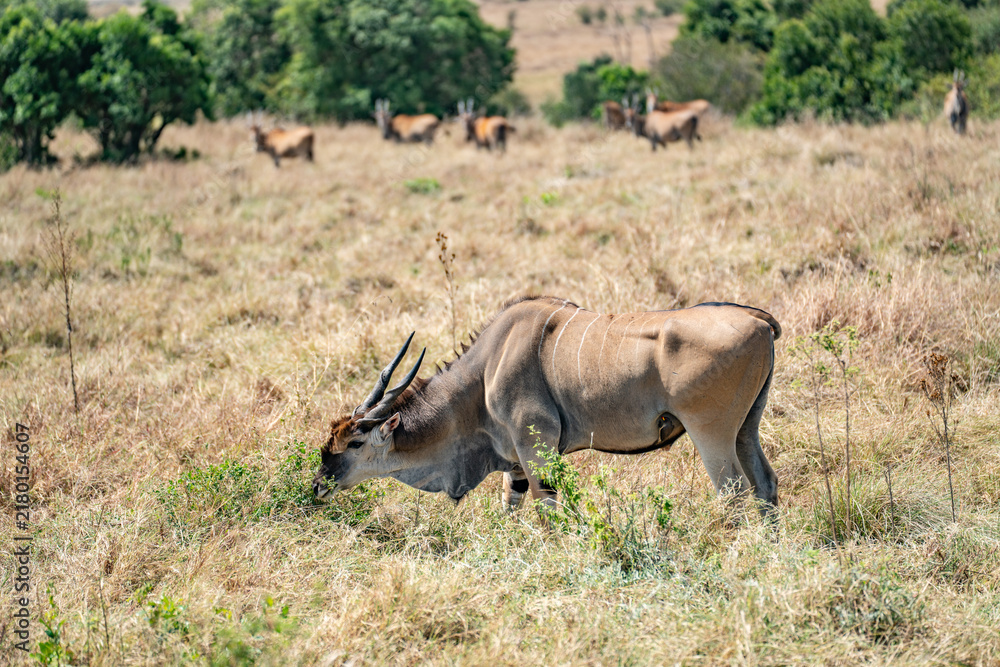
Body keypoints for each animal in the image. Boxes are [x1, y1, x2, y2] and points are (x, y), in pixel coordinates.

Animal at [313, 296, 781, 519]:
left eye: (354, 443)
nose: (318, 486)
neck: (485, 370)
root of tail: (759, 320)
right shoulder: (516, 463)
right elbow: (512, 505)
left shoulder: (536, 450)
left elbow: (547, 507)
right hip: (746, 428)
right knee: (765, 484)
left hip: (710, 432)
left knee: (733, 491)